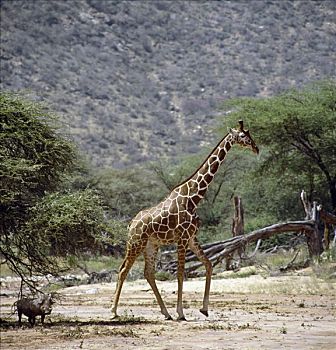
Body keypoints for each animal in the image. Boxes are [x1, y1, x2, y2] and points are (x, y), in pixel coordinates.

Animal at [111, 120, 258, 320]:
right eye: (243, 136)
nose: (256, 148)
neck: (193, 198)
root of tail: (130, 224)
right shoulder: (182, 238)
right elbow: (181, 273)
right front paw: (181, 312)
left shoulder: (191, 238)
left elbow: (208, 264)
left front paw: (204, 309)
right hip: (136, 242)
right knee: (123, 270)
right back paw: (114, 311)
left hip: (151, 245)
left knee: (148, 273)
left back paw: (165, 313)